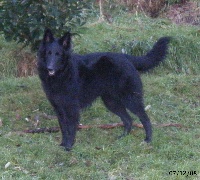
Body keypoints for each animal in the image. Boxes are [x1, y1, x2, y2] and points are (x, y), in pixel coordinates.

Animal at [37, 29, 170, 150]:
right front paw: (63, 144)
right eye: (48, 53)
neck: (63, 73)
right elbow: (64, 128)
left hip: (131, 100)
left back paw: (148, 139)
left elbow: (70, 128)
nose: (49, 68)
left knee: (145, 118)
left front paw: (69, 146)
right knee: (128, 120)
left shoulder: (72, 109)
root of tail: (125, 57)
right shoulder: (59, 109)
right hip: (112, 102)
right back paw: (123, 137)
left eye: (58, 54)